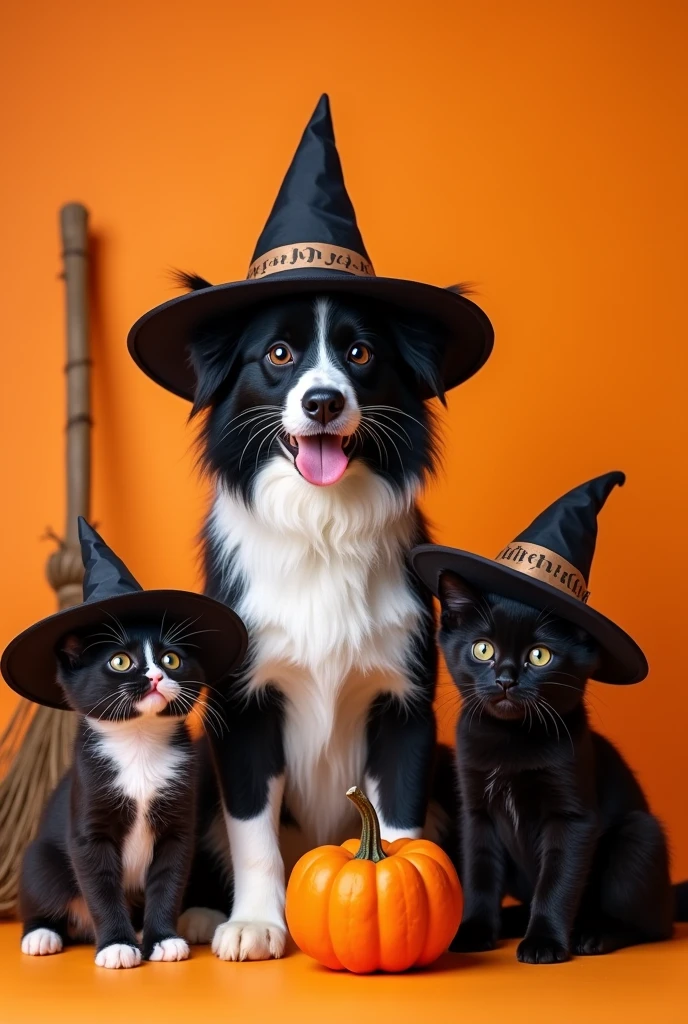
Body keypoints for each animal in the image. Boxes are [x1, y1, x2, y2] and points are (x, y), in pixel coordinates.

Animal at [19, 614, 204, 966]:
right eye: (120, 661)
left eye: (171, 660)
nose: (155, 676)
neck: (139, 743)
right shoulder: (89, 817)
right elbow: (101, 886)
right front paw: (117, 944)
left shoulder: (179, 824)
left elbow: (169, 880)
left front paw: (163, 939)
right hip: (41, 859)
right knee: (41, 887)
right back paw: (41, 933)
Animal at [180, 284, 446, 962]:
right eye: (279, 353)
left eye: (360, 352)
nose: (323, 401)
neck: (322, 524)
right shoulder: (242, 709)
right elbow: (253, 834)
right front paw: (255, 923)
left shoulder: (405, 706)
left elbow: (400, 823)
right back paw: (197, 913)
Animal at [438, 573, 675, 962]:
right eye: (482, 649)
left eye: (539, 655)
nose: (506, 679)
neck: (510, 740)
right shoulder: (476, 814)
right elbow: (479, 874)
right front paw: (474, 931)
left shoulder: (573, 818)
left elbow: (557, 881)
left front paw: (544, 942)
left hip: (639, 836)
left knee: (652, 926)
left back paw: (594, 935)